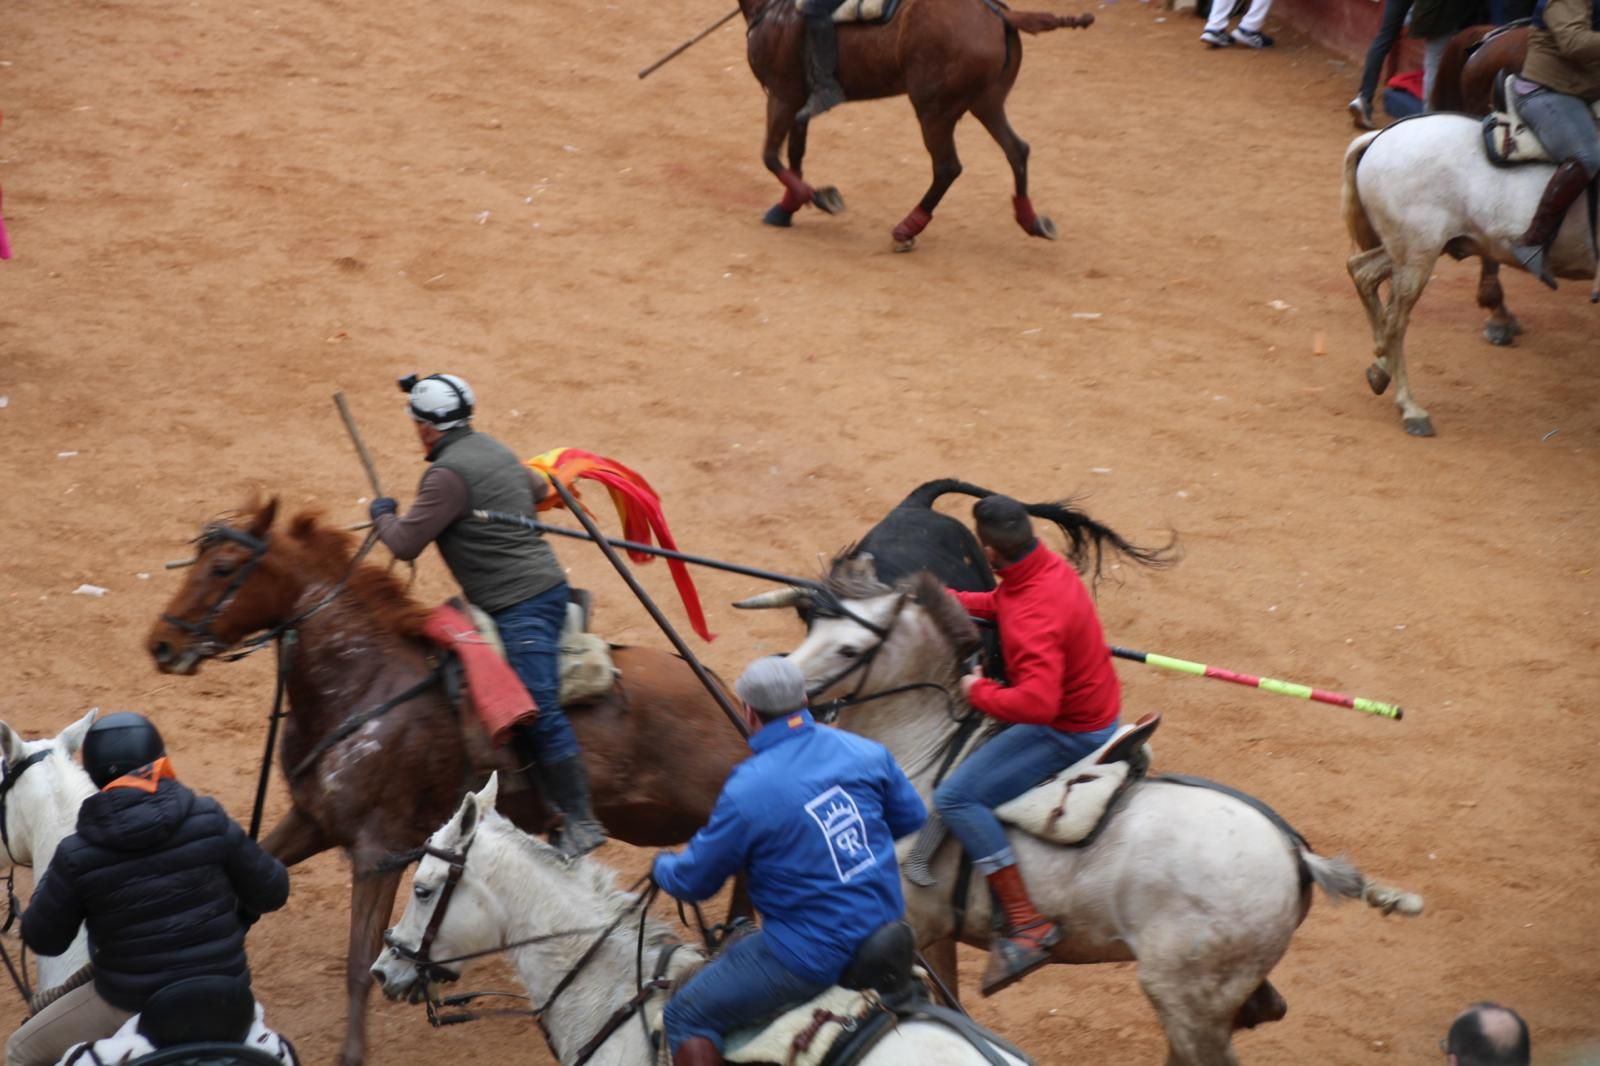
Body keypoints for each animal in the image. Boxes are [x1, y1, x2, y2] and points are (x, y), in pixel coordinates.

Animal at [145, 498, 752, 1066]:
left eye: (223, 567)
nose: (161, 644)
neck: (360, 685)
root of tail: (725, 695)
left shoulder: (378, 851)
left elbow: (358, 962)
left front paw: (352, 1052)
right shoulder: (312, 820)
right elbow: (249, 889)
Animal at [734, 555, 1423, 1066]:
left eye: (849, 650)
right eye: (807, 630)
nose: (763, 696)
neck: (923, 750)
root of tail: (1295, 852)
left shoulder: (911, 924)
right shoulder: (935, 936)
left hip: (1186, 998)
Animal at [739, 0, 1093, 250]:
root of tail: (1001, 15)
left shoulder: (782, 95)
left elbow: (770, 156)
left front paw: (819, 197)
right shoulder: (798, 100)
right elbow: (794, 155)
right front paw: (787, 208)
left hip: (934, 111)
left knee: (948, 167)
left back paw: (906, 229)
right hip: (987, 103)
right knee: (1017, 150)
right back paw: (1031, 220)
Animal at [1342, 115, 1599, 435]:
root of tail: (1381, 136)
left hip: (1411, 251)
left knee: (1363, 273)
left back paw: (1381, 369)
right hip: (1418, 255)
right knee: (1396, 322)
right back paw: (1410, 407)